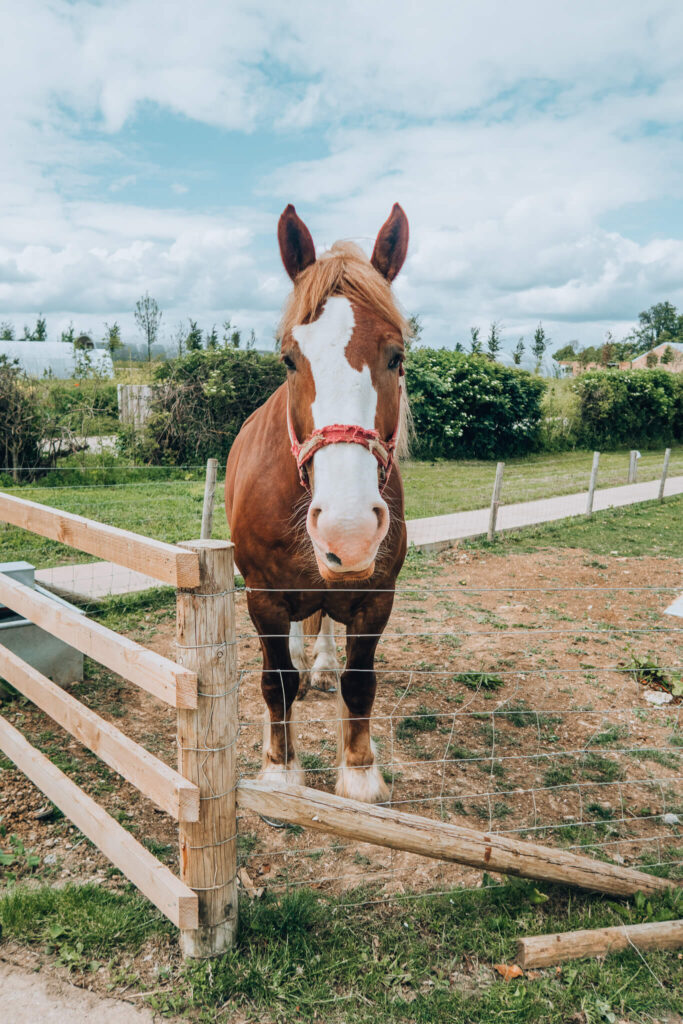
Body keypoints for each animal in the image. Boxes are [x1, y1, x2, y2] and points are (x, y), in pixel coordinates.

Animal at [229, 203, 409, 802]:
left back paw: (323, 663)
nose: (347, 529)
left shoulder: (375, 596)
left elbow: (360, 683)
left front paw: (359, 773)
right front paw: (280, 771)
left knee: (325, 623)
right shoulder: (262, 596)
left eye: (396, 357)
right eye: (289, 359)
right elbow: (276, 681)